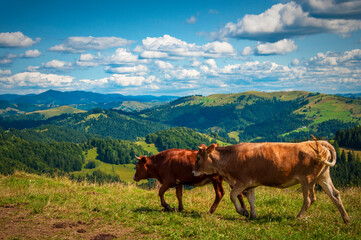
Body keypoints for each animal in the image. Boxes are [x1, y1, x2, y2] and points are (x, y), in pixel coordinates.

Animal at [193, 139, 350, 223]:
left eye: (198, 158)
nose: (193, 172)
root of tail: (318, 143)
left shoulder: (242, 181)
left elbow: (232, 196)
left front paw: (242, 212)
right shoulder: (251, 184)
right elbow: (251, 200)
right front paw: (253, 215)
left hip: (308, 179)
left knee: (310, 199)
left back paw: (298, 217)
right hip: (323, 176)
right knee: (335, 194)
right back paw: (346, 218)